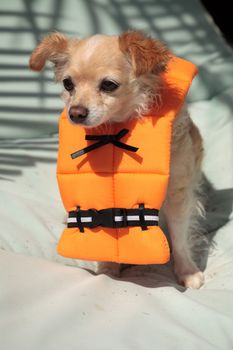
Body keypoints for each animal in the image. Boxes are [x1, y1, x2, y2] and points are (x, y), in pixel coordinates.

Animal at [29, 30, 206, 288]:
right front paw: (108, 270)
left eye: (108, 85)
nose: (76, 113)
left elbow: (180, 235)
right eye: (68, 84)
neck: (115, 127)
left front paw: (187, 271)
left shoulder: (178, 193)